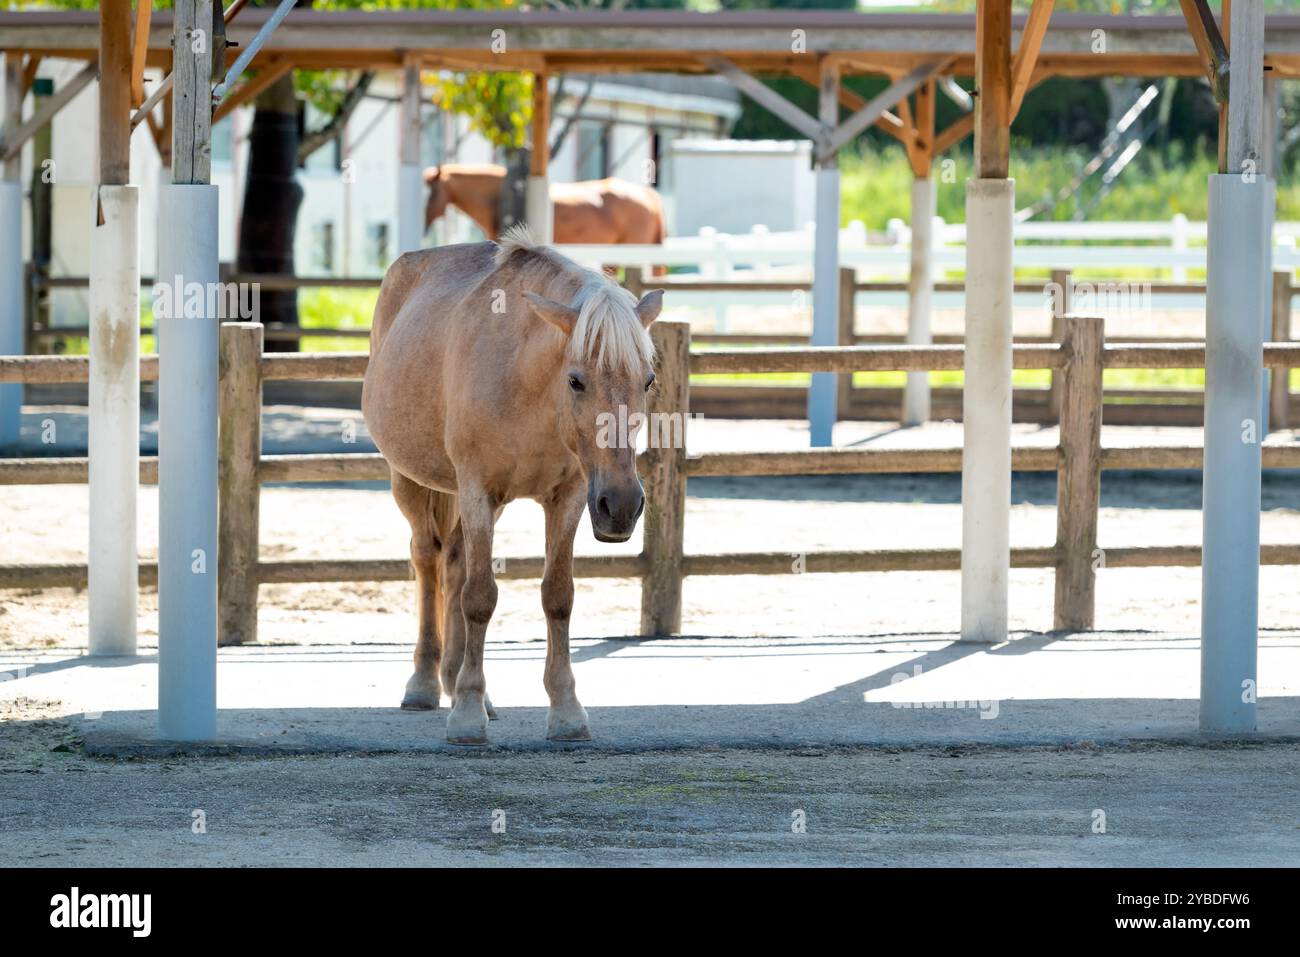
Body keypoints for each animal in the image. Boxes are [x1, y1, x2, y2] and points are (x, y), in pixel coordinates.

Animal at [361, 227, 664, 745]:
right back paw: (426, 683)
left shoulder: (569, 499)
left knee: (454, 563)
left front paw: (566, 711)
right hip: (409, 480)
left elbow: (557, 596)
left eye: (647, 380)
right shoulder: (478, 490)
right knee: (427, 560)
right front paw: (466, 715)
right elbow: (480, 597)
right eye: (576, 381)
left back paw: (460, 682)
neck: (526, 384)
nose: (622, 506)